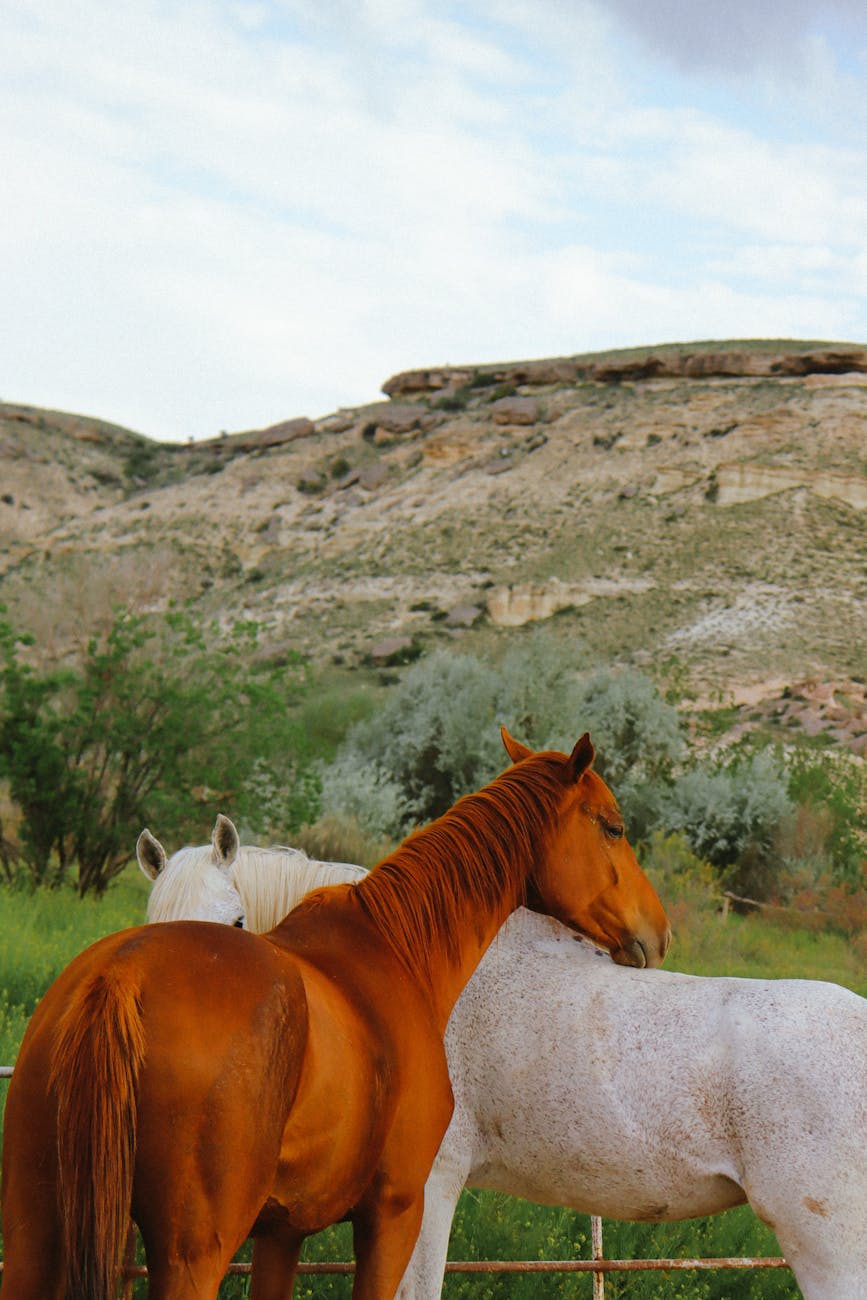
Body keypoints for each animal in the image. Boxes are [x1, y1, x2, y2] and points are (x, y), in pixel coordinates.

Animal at [0, 728, 670, 1300]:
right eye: (614, 828)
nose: (657, 932)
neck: (394, 950)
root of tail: (121, 976)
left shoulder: (282, 1231)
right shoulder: (396, 1211)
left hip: (36, 1238)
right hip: (192, 1256)